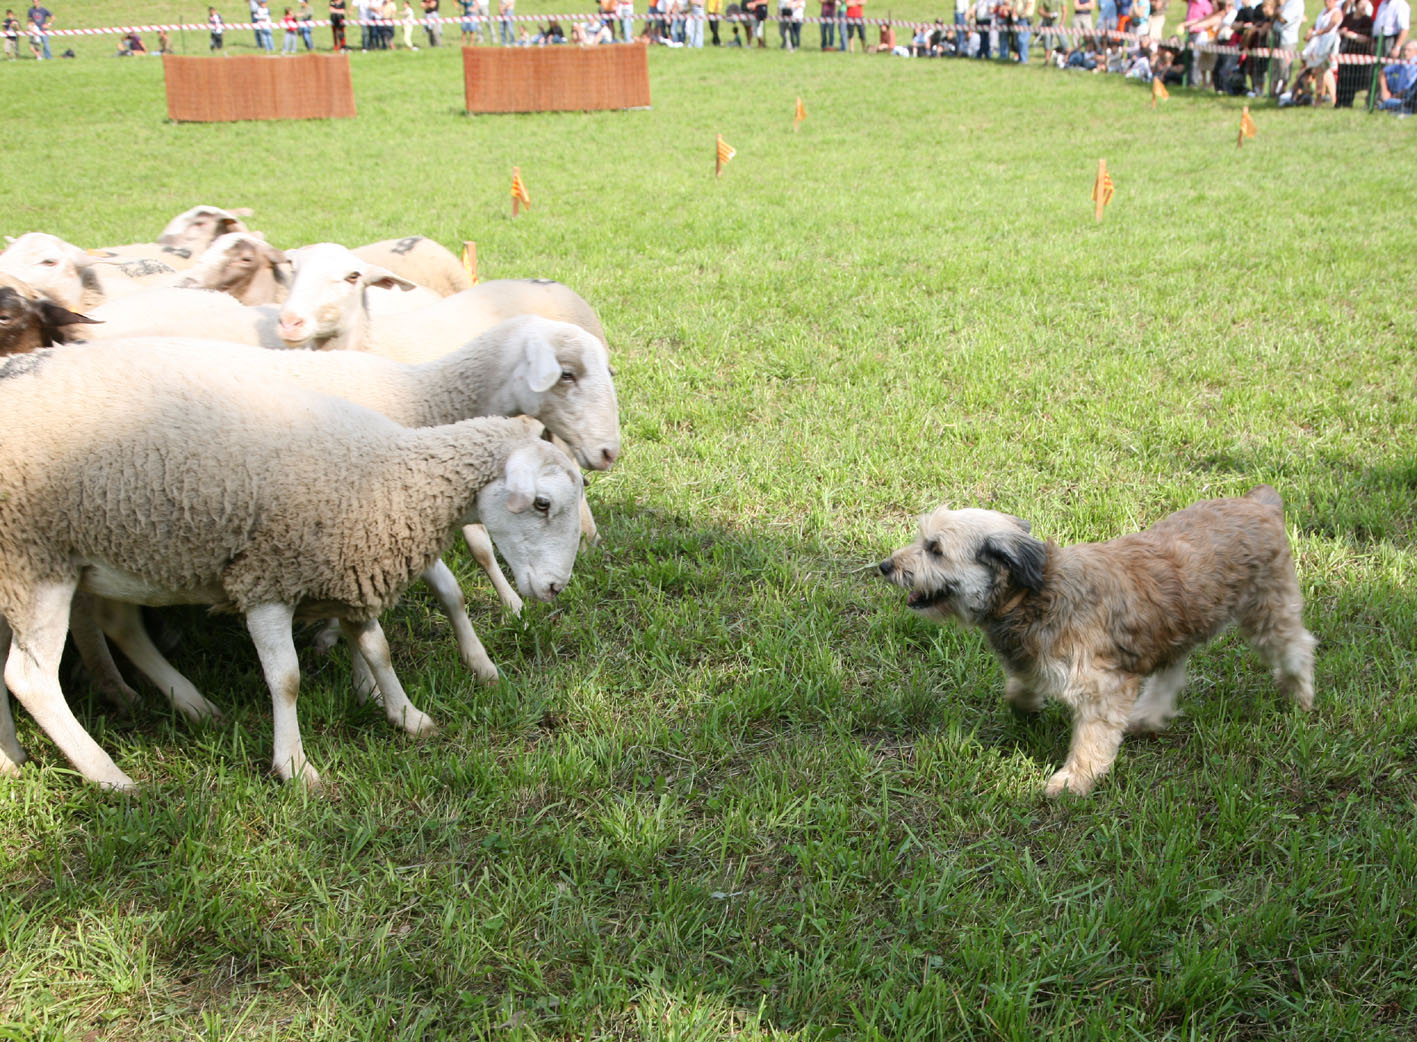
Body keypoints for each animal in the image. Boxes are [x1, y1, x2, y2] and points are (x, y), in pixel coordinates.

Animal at [0, 343, 580, 788]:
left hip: (80, 562)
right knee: (30, 680)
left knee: (96, 634)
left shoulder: (350, 575)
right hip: (35, 561)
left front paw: (407, 716)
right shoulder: (266, 581)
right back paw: (109, 776)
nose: (556, 588)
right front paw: (296, 767)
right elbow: (287, 680)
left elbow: (379, 650)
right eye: (542, 504)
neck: (390, 474)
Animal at [74, 317, 620, 708]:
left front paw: (478, 658)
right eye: (567, 374)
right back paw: (118, 694)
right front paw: (362, 673)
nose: (610, 452)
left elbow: (451, 588)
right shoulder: (364, 516)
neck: (422, 396)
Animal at [872, 484, 1314, 793]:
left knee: (1298, 647)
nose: (885, 566)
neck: (1032, 594)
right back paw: (1149, 717)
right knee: (1172, 671)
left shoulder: (1102, 686)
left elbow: (1091, 739)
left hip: (1267, 611)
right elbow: (1018, 688)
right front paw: (1026, 707)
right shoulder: (1037, 658)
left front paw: (1073, 780)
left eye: (934, 549)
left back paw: (1300, 698)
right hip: (1176, 624)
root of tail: (1259, 503)